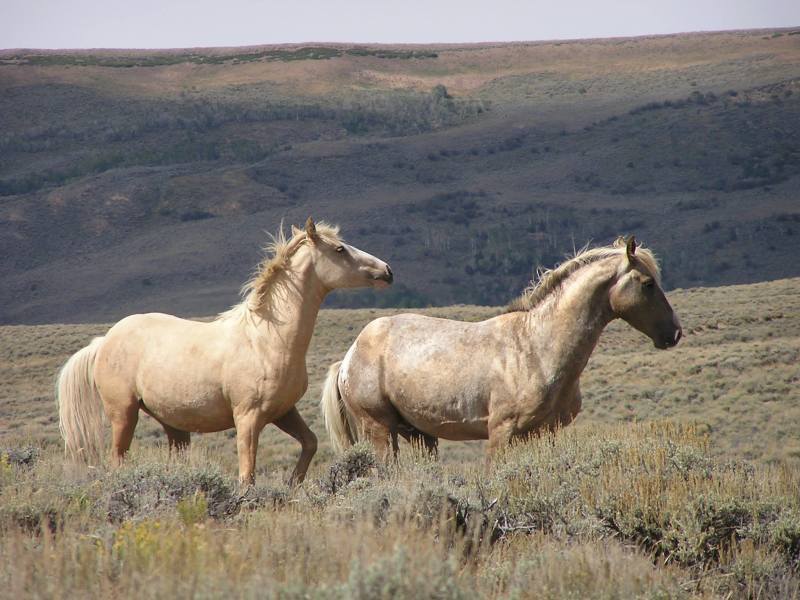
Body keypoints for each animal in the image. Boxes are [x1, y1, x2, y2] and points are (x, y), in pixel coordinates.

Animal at [56, 218, 393, 485]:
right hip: (123, 414)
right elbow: (247, 472)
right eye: (339, 249)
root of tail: (103, 341)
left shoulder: (283, 411)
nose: (387, 270)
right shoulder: (248, 418)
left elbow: (309, 443)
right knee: (117, 459)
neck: (267, 338)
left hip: (174, 425)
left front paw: (292, 484)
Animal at [321, 236, 681, 460]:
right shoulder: (502, 433)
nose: (674, 333)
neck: (537, 348)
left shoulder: (545, 433)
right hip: (379, 429)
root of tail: (348, 359)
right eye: (648, 284)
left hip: (420, 434)